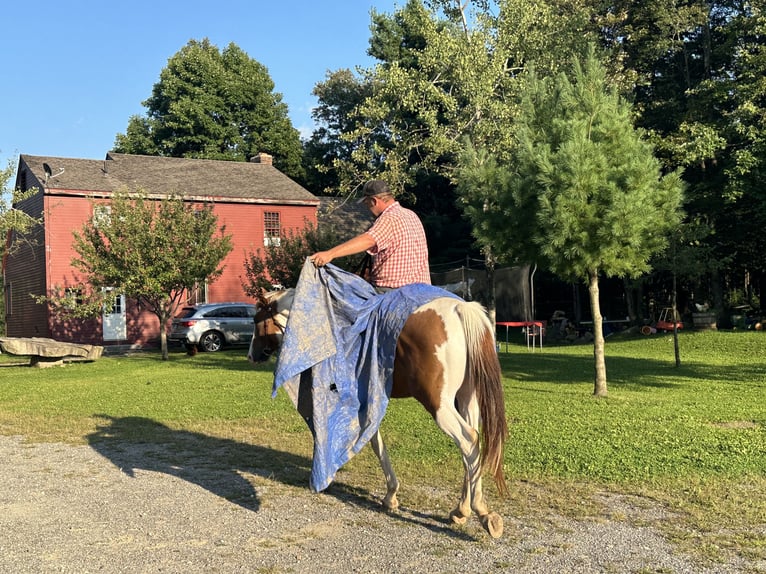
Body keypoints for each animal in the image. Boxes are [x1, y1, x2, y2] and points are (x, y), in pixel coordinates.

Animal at [250, 288, 510, 540]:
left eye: (255, 320)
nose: (252, 355)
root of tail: (459, 309)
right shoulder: (370, 401)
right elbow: (375, 441)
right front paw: (390, 494)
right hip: (468, 399)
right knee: (472, 447)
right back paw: (461, 510)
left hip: (440, 404)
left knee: (469, 441)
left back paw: (480, 512)